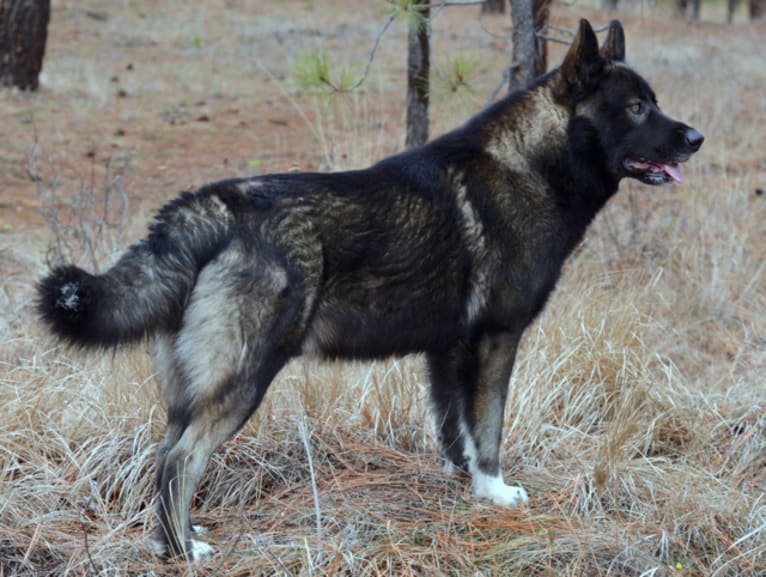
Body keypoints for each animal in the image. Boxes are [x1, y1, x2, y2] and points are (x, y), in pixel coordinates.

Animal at [39, 20, 704, 560]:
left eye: (655, 103)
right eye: (637, 107)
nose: (695, 137)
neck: (533, 166)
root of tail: (208, 208)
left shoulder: (447, 351)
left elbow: (455, 432)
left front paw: (462, 485)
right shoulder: (497, 339)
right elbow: (488, 428)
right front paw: (495, 491)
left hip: (190, 391)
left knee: (161, 458)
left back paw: (169, 541)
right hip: (242, 381)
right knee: (181, 461)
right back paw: (183, 552)